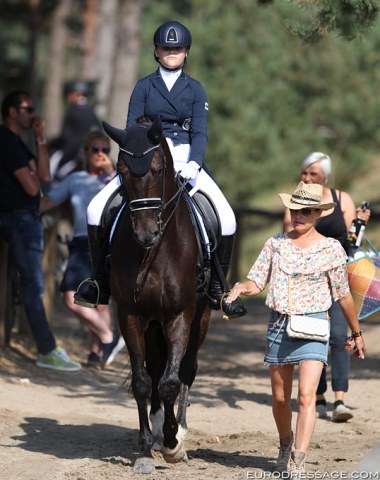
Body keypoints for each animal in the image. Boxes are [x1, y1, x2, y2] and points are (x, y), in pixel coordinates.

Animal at [102, 118, 212, 474]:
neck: (154, 252)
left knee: (186, 369)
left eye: (158, 169)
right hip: (152, 323)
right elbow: (142, 381)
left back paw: (180, 430)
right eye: (121, 170)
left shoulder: (180, 314)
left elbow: (170, 382)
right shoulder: (130, 314)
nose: (146, 233)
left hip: (201, 317)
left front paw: (172, 443)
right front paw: (146, 450)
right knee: (154, 368)